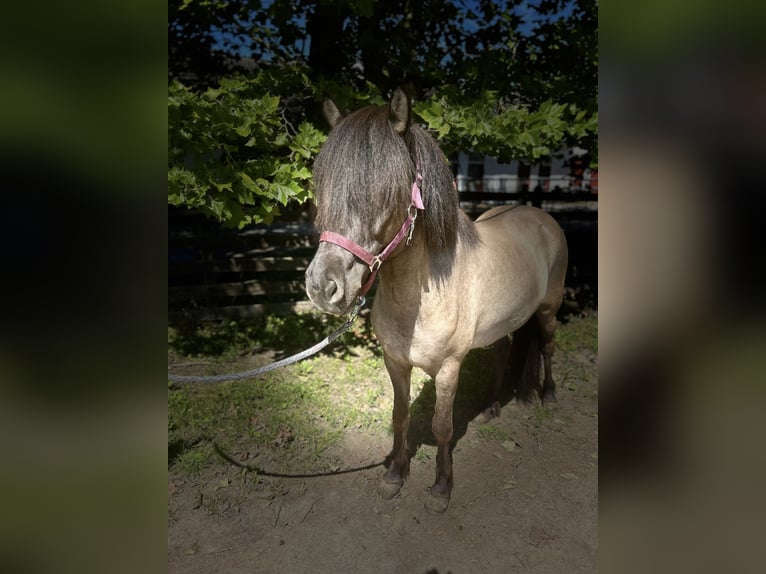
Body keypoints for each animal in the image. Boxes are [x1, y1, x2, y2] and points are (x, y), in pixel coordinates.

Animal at [308, 89, 568, 512]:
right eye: (325, 190)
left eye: (386, 192)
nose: (321, 286)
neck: (420, 297)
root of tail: (540, 216)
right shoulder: (395, 363)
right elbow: (400, 417)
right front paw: (394, 476)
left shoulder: (448, 369)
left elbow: (442, 427)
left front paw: (441, 488)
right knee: (505, 352)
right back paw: (492, 407)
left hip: (548, 309)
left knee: (546, 346)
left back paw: (548, 396)